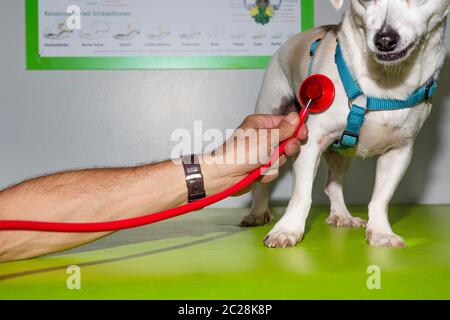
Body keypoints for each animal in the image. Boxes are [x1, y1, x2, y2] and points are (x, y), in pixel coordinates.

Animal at [243, 0, 450, 249]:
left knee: (332, 185)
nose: (384, 40)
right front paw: (288, 229)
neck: (387, 83)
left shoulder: (399, 151)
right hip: (269, 131)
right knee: (262, 181)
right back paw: (257, 212)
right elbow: (302, 195)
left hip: (340, 153)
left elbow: (381, 198)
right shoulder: (311, 142)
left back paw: (342, 215)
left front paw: (381, 232)